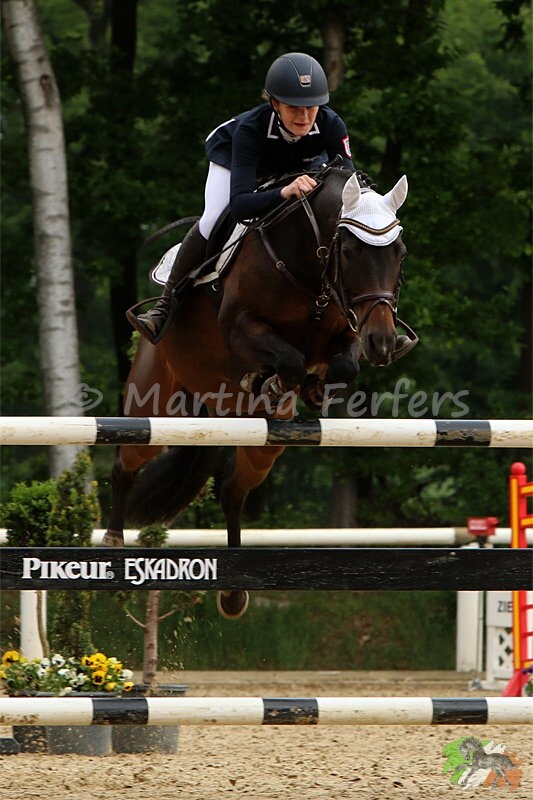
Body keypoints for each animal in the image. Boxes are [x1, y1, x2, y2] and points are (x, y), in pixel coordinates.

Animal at [103, 164, 415, 618]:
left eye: (400, 253)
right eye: (350, 252)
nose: (384, 342)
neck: (309, 263)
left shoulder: (347, 328)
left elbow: (342, 364)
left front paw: (310, 388)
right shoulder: (240, 327)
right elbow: (288, 357)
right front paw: (273, 379)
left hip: (264, 440)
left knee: (233, 491)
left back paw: (233, 592)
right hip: (156, 405)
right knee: (126, 463)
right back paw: (112, 541)